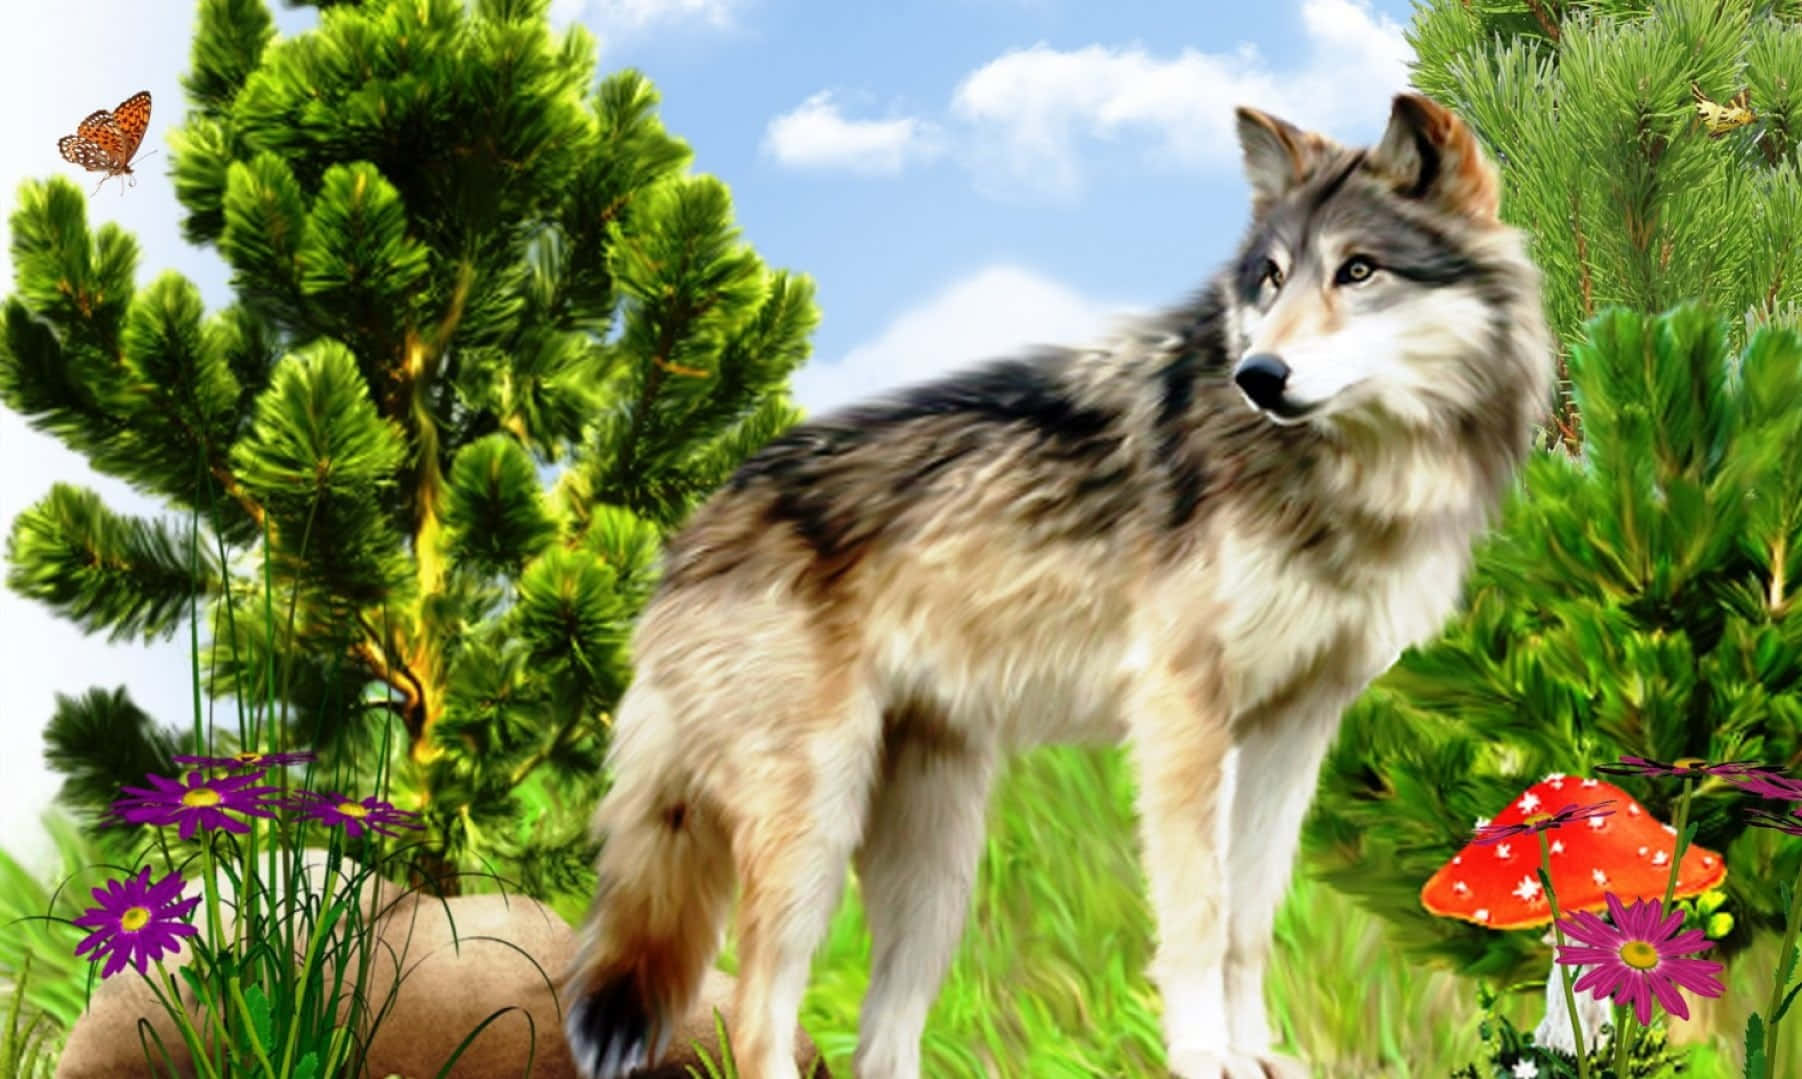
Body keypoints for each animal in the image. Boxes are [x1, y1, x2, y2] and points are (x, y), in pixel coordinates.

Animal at [561, 92, 1553, 1079]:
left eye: (1358, 270)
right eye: (1271, 280)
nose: (1258, 376)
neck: (1355, 475)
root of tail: (688, 532)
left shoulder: (1295, 723)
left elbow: (1248, 919)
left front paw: (1256, 1053)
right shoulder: (1182, 713)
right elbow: (1196, 919)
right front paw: (1205, 1059)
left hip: (936, 872)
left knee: (881, 1037)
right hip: (814, 832)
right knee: (760, 1011)